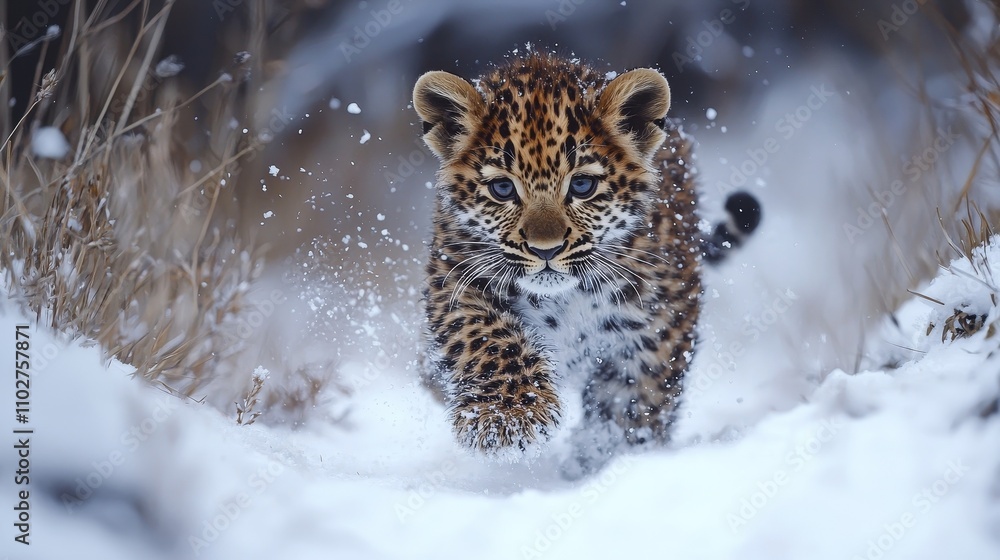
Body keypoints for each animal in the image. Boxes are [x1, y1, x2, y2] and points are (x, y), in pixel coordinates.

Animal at [411, 52, 760, 475]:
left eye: (581, 186)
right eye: (502, 188)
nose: (545, 249)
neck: (565, 299)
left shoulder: (658, 327)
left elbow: (632, 404)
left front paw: (611, 461)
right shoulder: (456, 277)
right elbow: (485, 339)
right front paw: (508, 418)